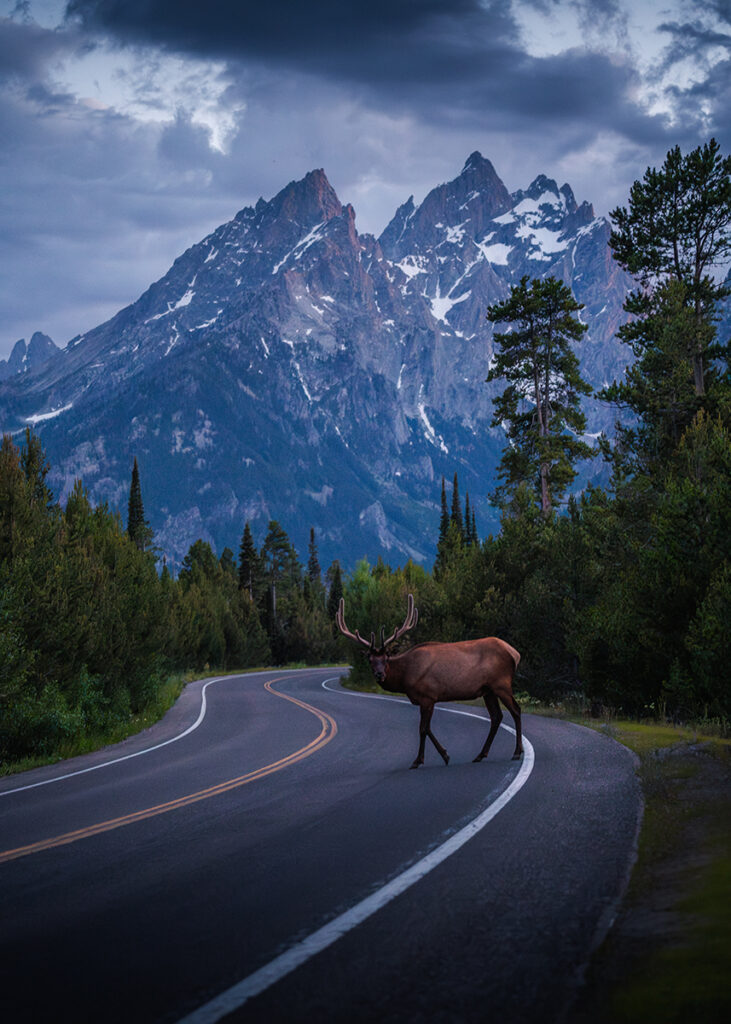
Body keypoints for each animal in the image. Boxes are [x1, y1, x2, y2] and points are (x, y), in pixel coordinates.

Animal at [333, 593, 518, 770]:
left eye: (386, 658)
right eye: (370, 660)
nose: (379, 674)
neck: (404, 678)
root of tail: (514, 653)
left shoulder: (427, 696)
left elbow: (422, 729)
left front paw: (418, 760)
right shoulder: (428, 699)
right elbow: (428, 728)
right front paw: (445, 755)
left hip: (501, 684)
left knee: (515, 710)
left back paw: (517, 752)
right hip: (488, 690)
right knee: (496, 716)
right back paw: (480, 755)